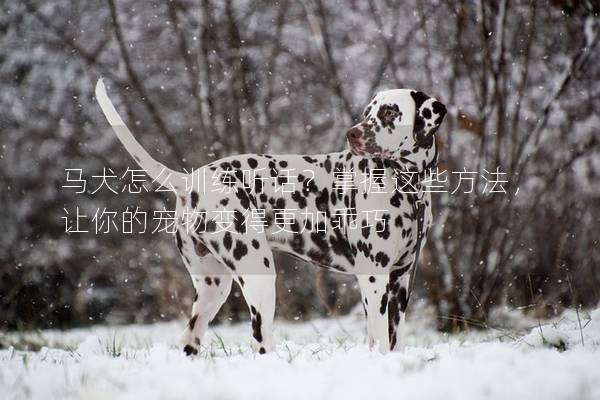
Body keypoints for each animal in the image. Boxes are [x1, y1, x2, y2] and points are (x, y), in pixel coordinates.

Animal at [96, 79, 446, 354]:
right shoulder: (373, 276)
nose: (352, 134)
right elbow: (379, 338)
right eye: (367, 113)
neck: (407, 184)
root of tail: (190, 180)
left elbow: (393, 338)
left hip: (213, 288)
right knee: (260, 340)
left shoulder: (400, 279)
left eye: (389, 111)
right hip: (259, 277)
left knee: (189, 339)